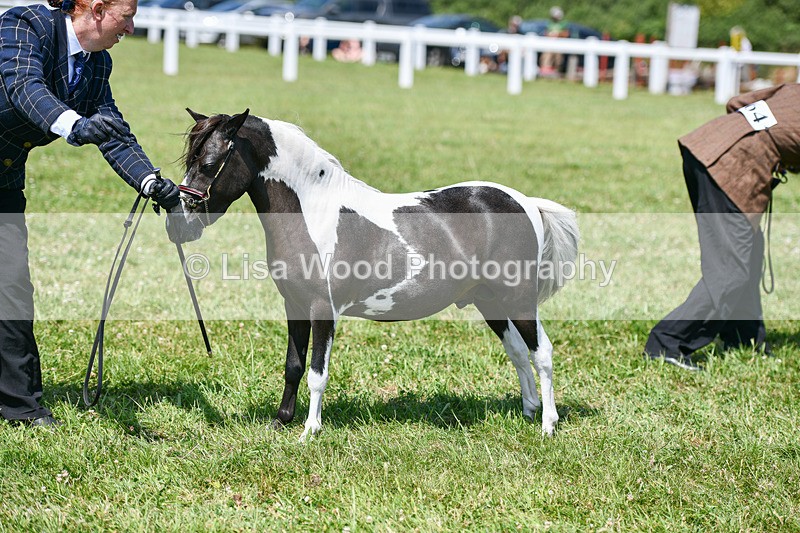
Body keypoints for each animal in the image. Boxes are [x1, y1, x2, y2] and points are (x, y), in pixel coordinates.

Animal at [167, 108, 579, 439]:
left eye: (209, 163)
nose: (178, 224)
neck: (314, 210)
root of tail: (525, 202)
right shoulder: (294, 306)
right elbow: (293, 366)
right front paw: (281, 421)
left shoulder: (322, 310)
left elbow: (317, 373)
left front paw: (309, 431)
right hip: (490, 302)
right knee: (518, 352)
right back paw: (529, 411)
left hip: (519, 300)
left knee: (542, 352)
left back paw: (548, 425)